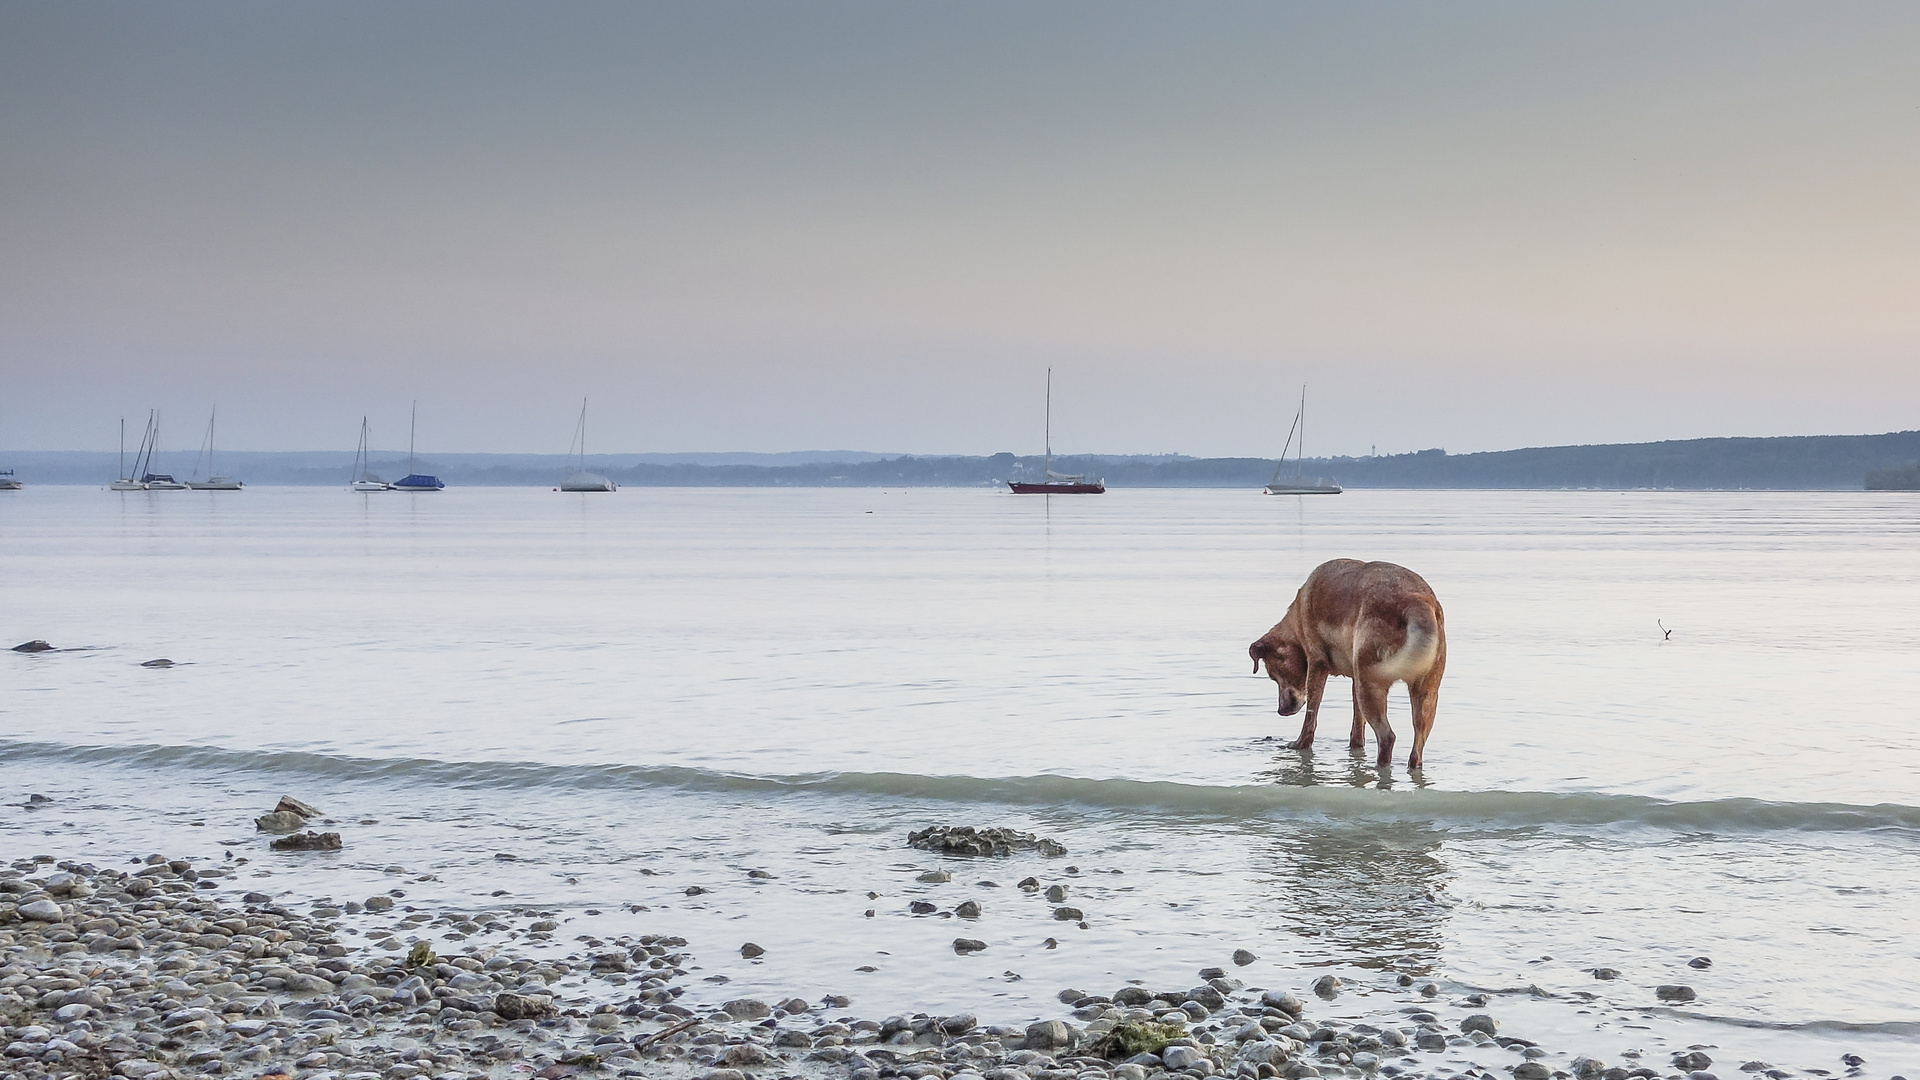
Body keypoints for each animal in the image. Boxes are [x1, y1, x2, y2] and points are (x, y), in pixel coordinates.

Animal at [1251, 553, 1443, 764]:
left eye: (1274, 675)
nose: (1281, 710)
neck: (1297, 620)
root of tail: (1415, 601)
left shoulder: (1317, 663)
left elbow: (1311, 716)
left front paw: (1300, 744)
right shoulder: (1354, 680)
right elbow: (1357, 725)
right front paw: (1355, 747)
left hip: (1370, 686)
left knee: (1387, 737)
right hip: (1425, 694)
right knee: (1418, 745)